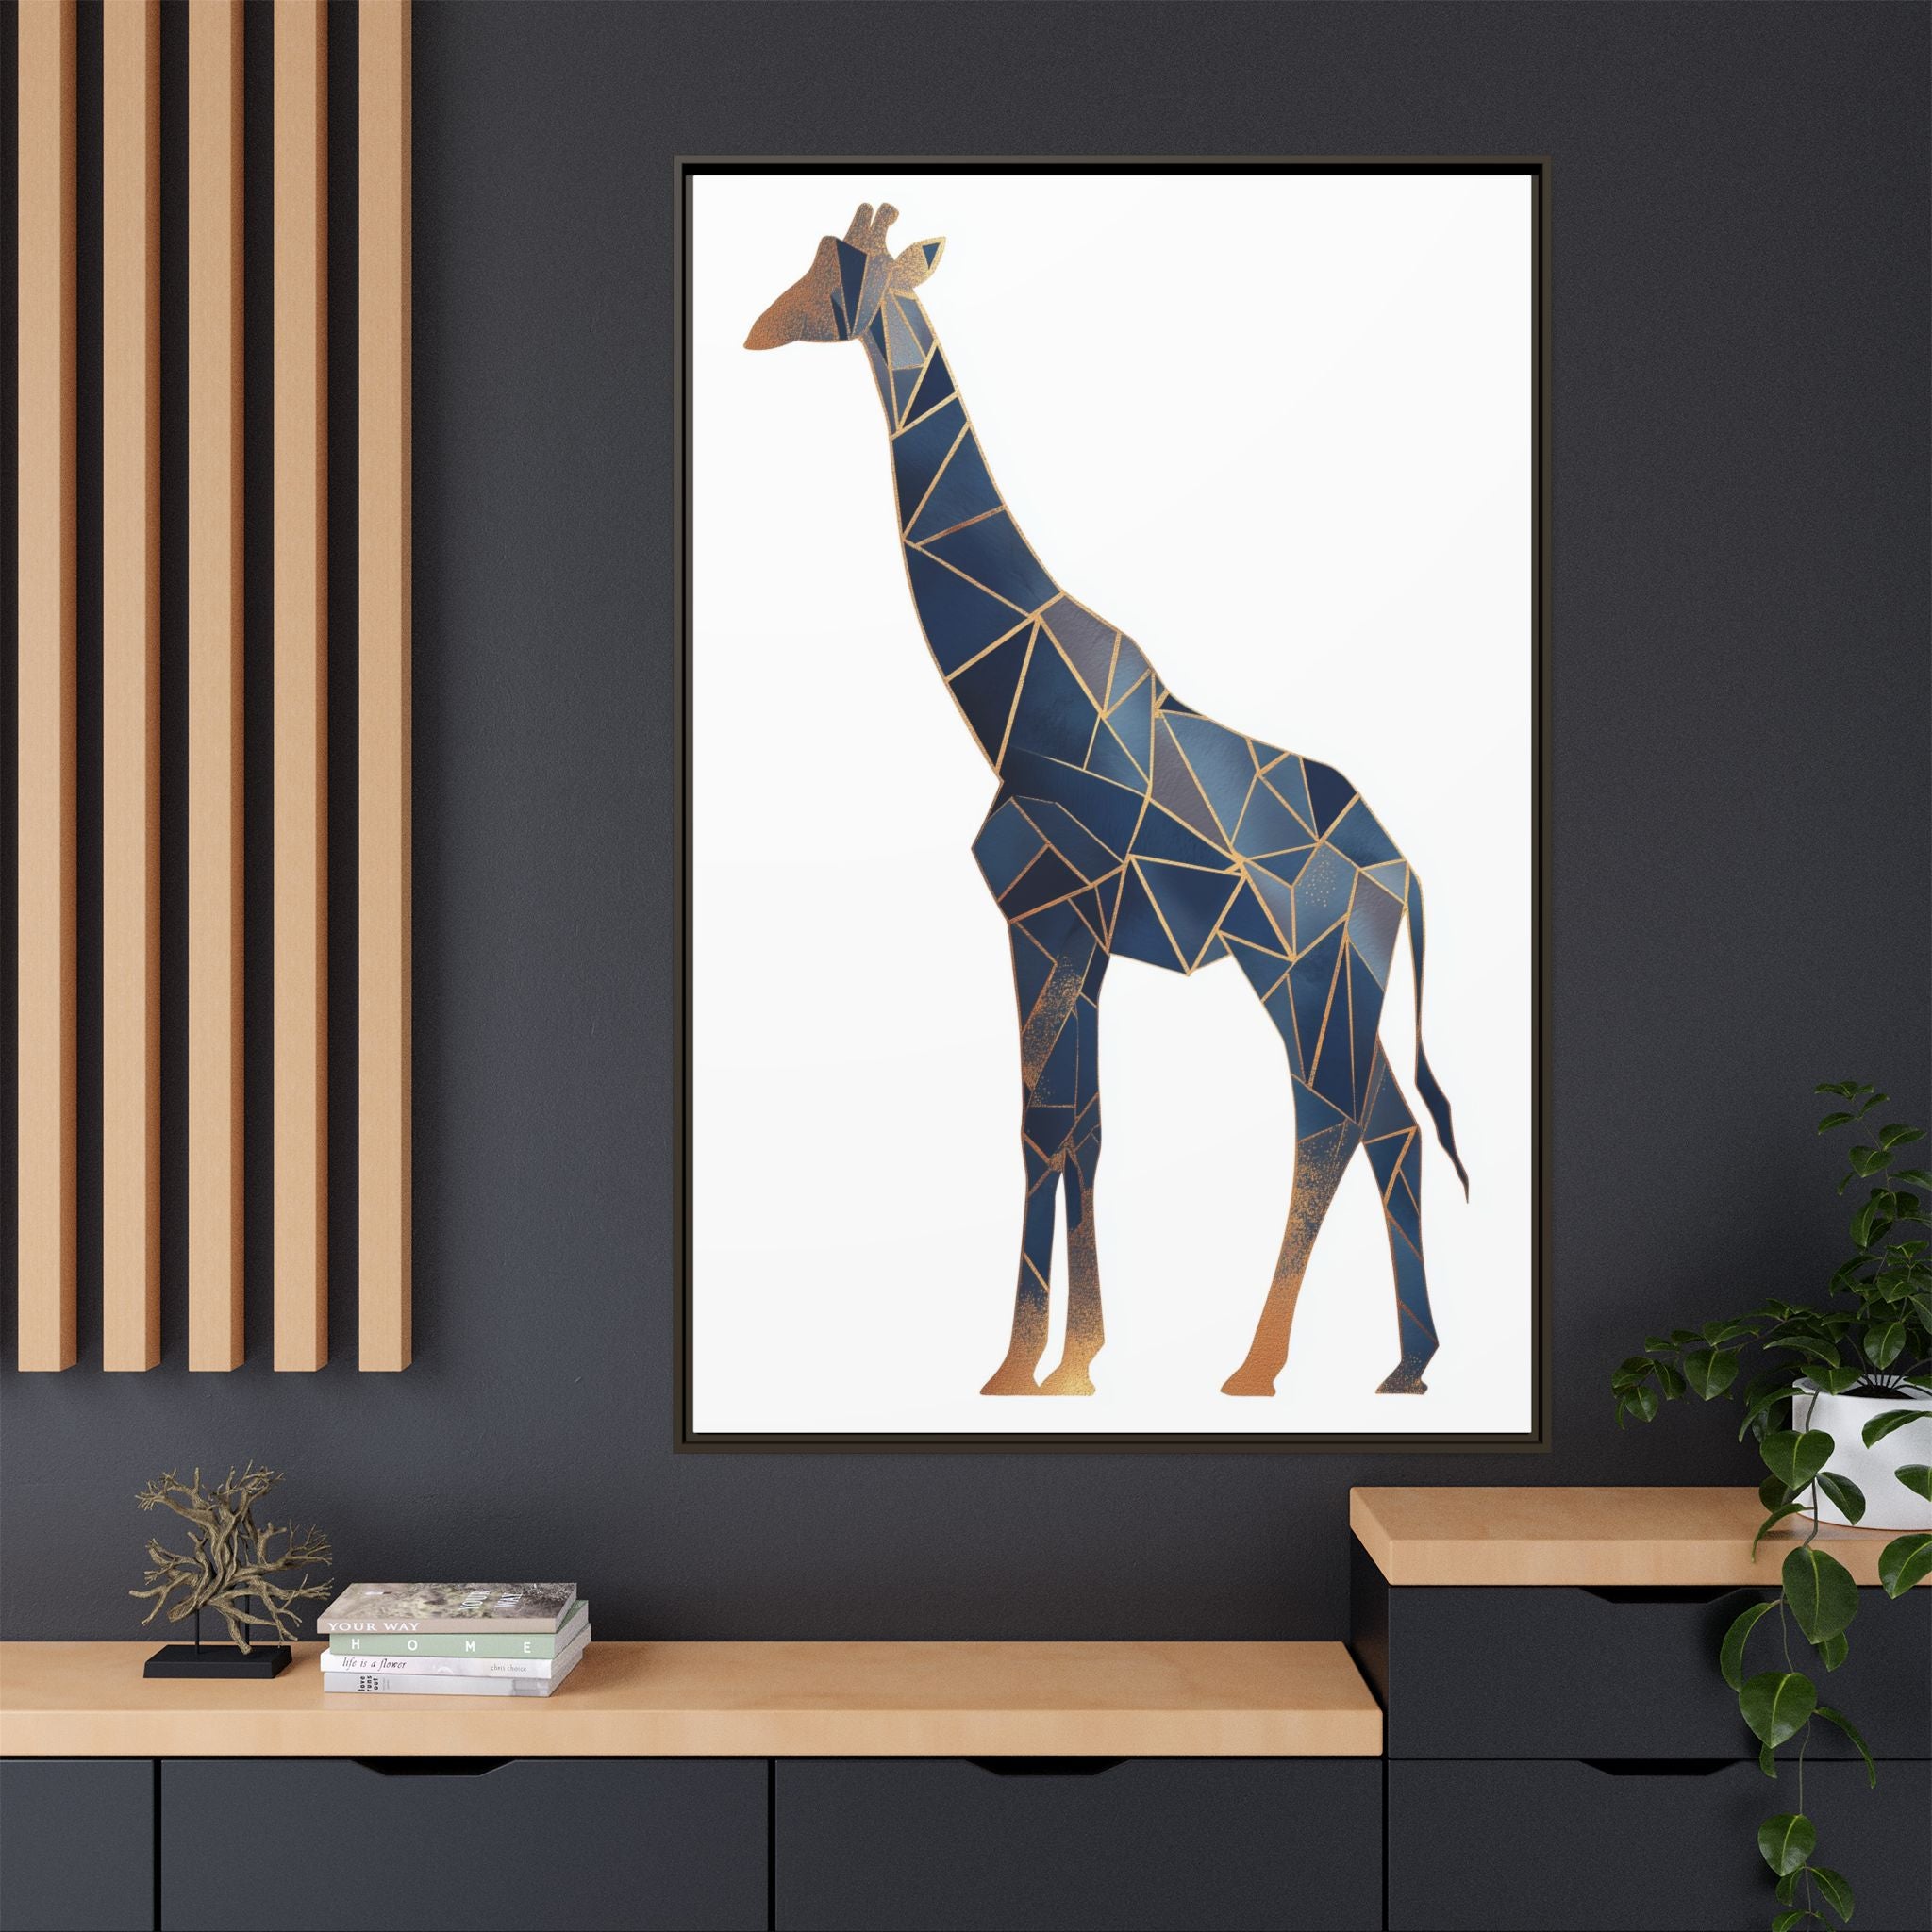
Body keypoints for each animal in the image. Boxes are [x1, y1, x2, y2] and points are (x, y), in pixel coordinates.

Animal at [746, 202, 1468, 1401]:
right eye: (811, 262)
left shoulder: (1047, 920)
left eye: (840, 275)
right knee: (1389, 1127)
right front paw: (1055, 1358)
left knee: (1329, 1122)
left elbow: (1047, 1126)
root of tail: (1400, 871)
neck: (1011, 700)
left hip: (1300, 969)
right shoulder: (1068, 938)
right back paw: (1405, 1363)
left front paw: (1038, 1363)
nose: (758, 328)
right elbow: (1072, 1126)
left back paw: (1258, 1366)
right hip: (1335, 981)